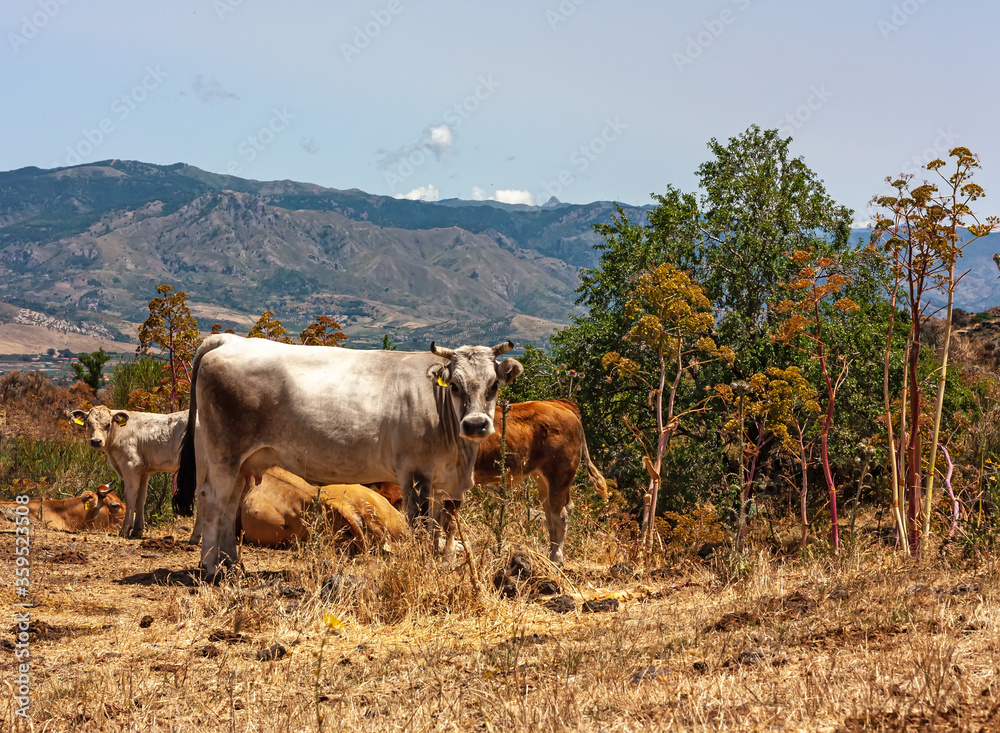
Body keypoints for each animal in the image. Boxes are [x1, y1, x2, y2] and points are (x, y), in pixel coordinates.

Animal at [69, 404, 187, 536]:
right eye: (88, 423)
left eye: (108, 424)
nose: (96, 441)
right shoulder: (143, 472)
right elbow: (141, 498)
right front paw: (137, 530)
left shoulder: (130, 466)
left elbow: (130, 496)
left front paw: (125, 529)